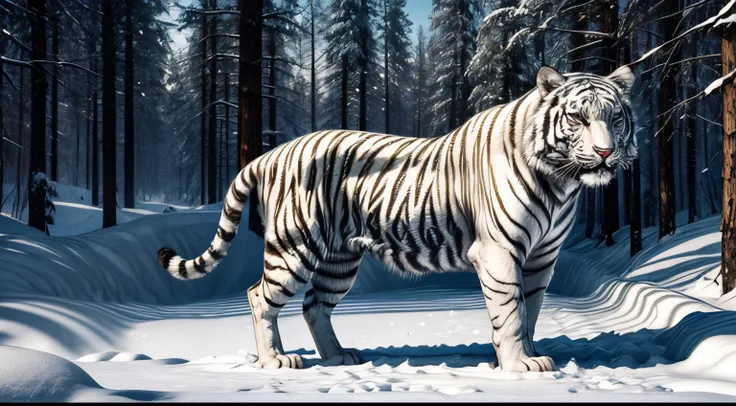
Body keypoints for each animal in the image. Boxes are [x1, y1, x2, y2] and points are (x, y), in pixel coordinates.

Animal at [158, 66, 636, 372]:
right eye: (578, 117)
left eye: (615, 118)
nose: (605, 152)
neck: (560, 181)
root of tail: (271, 154)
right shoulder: (500, 252)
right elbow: (511, 310)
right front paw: (520, 364)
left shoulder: (541, 257)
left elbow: (531, 309)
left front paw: (524, 354)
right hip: (295, 248)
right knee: (259, 296)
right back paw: (275, 360)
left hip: (339, 260)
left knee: (314, 304)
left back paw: (338, 357)